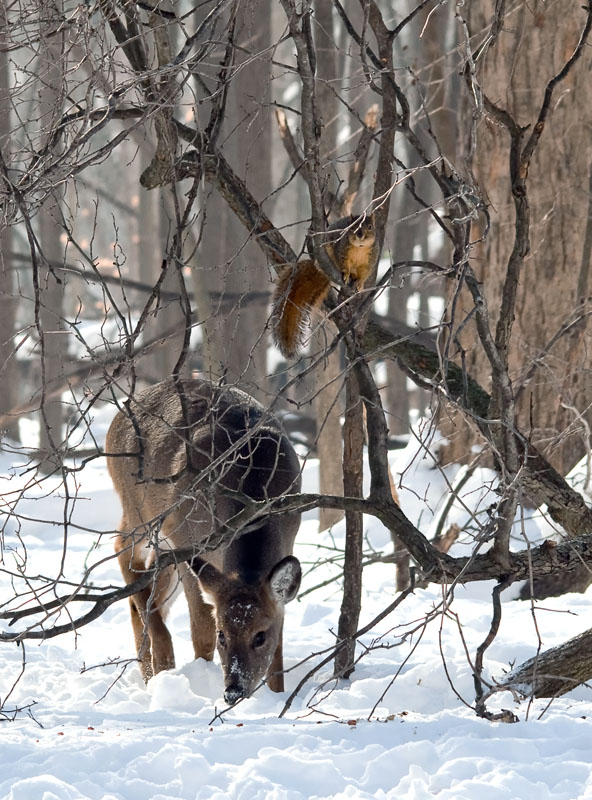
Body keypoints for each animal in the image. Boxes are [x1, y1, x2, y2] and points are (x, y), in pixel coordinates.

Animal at [104, 378, 302, 704]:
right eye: (224, 635)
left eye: (260, 635)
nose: (234, 691)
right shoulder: (190, 542)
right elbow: (202, 629)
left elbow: (279, 651)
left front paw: (277, 695)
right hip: (138, 507)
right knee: (122, 548)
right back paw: (163, 662)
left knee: (145, 591)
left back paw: (150, 669)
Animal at [272, 216, 376, 360]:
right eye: (352, 226)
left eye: (370, 227)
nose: (360, 234)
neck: (359, 248)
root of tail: (319, 266)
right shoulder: (341, 250)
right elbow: (343, 264)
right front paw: (346, 273)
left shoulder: (370, 261)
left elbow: (364, 274)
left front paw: (360, 284)